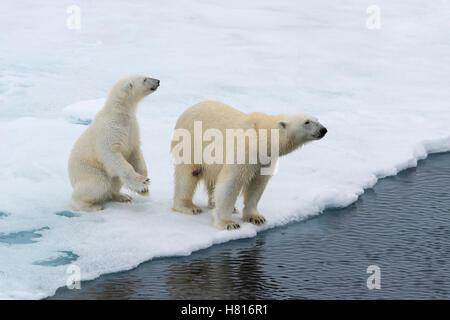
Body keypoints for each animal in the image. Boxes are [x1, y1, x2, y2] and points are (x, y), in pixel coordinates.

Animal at [68, 74, 160, 210]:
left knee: (115, 181)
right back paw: (91, 206)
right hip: (88, 170)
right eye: (144, 79)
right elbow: (112, 155)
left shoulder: (132, 130)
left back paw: (122, 196)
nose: (158, 81)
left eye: (146, 75)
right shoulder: (109, 131)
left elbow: (136, 152)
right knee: (99, 183)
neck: (119, 115)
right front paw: (141, 182)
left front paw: (145, 186)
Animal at [171, 101, 326, 229]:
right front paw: (228, 223)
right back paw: (188, 207)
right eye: (307, 122)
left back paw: (219, 205)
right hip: (190, 143)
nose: (323, 130)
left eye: (317, 119)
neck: (264, 136)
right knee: (189, 174)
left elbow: (257, 184)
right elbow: (231, 182)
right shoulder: (246, 149)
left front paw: (256, 218)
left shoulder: (265, 158)